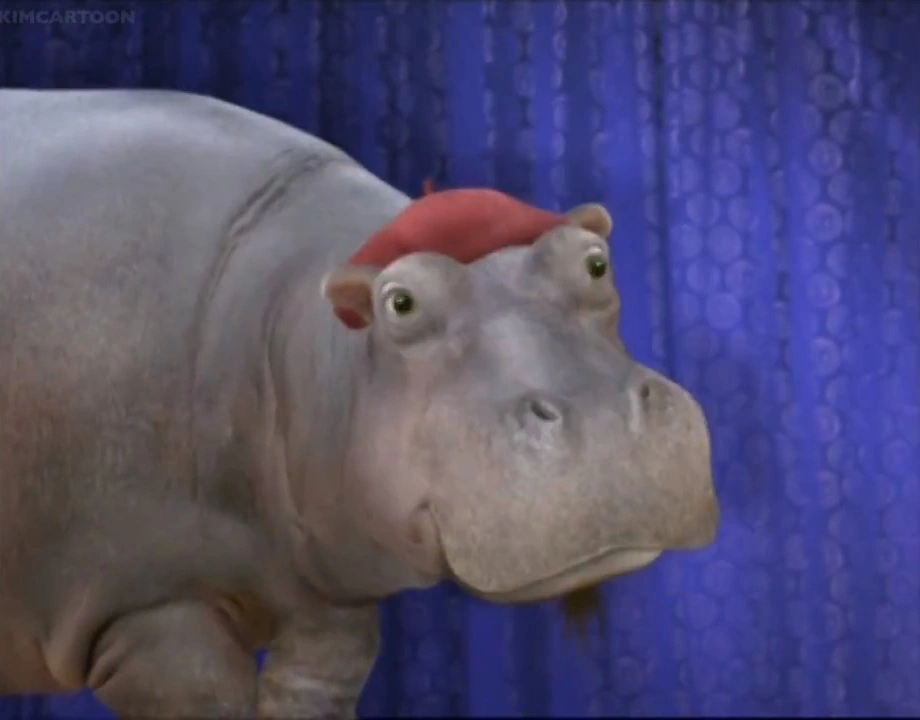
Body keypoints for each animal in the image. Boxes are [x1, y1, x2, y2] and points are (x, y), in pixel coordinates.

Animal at [0, 88, 720, 719]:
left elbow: (313, 688)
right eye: (400, 302)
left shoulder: (323, 610)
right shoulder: (151, 611)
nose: (602, 417)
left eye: (595, 261)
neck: (293, 325)